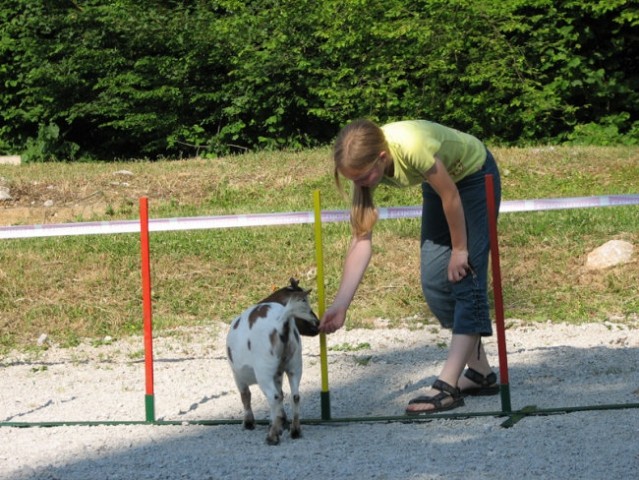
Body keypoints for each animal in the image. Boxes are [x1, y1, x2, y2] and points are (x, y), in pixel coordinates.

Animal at [228, 278, 322, 446]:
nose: (317, 324)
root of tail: (281, 322)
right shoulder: (278, 373)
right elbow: (282, 394)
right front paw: (281, 423)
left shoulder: (237, 374)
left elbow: (245, 396)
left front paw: (249, 423)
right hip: (294, 365)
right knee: (294, 396)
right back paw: (295, 431)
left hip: (263, 371)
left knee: (273, 396)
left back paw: (272, 437)